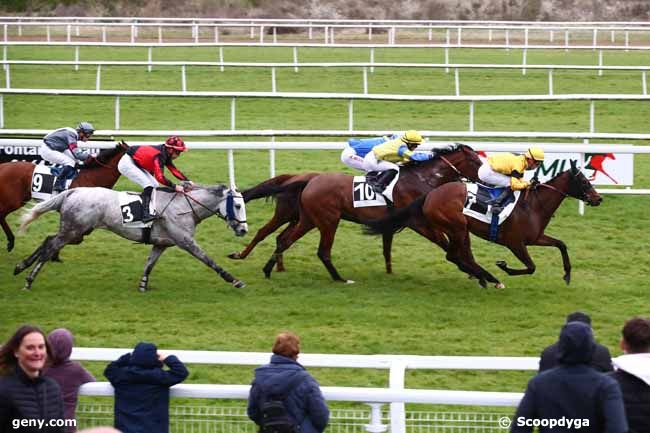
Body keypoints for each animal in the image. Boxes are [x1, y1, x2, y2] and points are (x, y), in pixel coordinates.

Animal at [15, 184, 248, 292]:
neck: (184, 206)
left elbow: (149, 265)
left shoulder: (161, 244)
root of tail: (73, 191)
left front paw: (143, 286)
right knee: (50, 247)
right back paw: (28, 280)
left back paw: (20, 266)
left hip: (78, 232)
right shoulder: (185, 241)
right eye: (237, 205)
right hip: (74, 230)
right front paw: (234, 280)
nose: (244, 230)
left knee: (48, 240)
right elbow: (208, 260)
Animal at [251, 143, 484, 282]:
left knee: (285, 240)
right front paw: (470, 270)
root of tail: (310, 181)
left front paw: (472, 270)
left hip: (309, 219)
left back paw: (267, 270)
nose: (486, 179)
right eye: (476, 161)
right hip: (328, 220)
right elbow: (445, 243)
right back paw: (340, 278)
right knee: (321, 250)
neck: (422, 179)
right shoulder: (418, 222)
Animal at [364, 159, 604, 286]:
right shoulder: (515, 243)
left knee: (458, 255)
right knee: (454, 255)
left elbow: (561, 244)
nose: (598, 198)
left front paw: (567, 274)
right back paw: (489, 277)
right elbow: (531, 267)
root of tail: (430, 195)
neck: (534, 205)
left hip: (459, 230)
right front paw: (503, 266)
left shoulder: (535, 238)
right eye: (584, 181)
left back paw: (483, 277)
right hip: (457, 226)